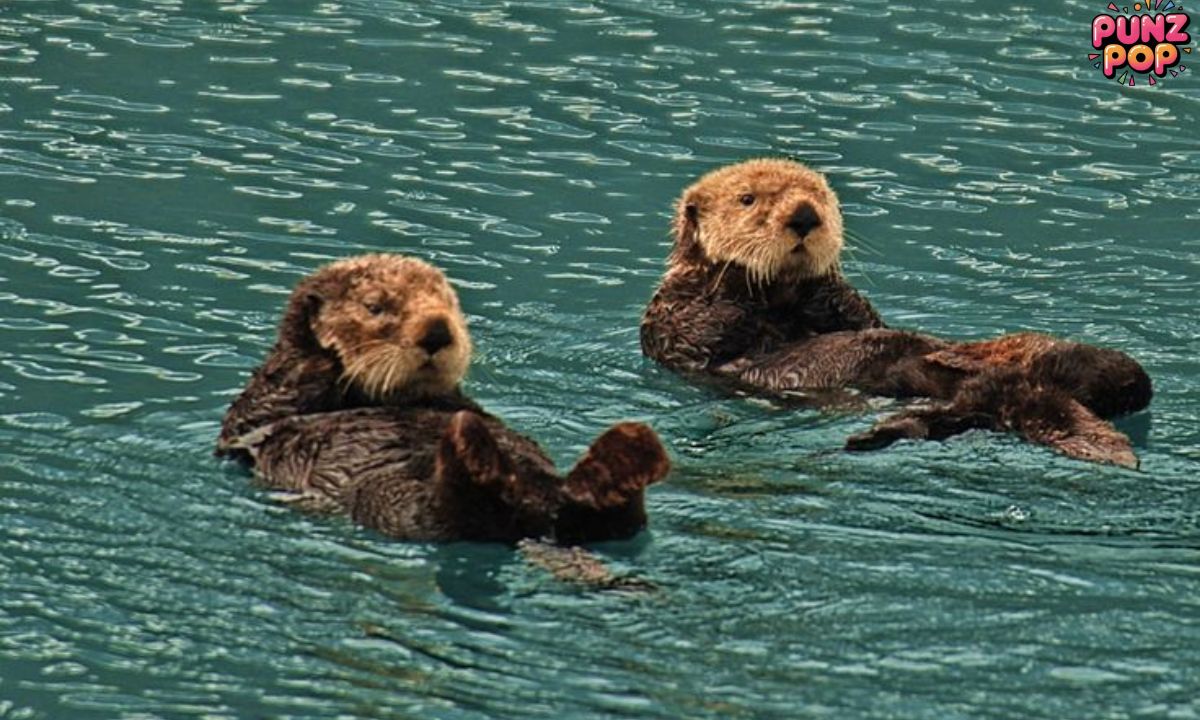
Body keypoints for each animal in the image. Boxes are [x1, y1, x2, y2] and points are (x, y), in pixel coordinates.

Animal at [220, 253, 671, 543]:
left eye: (449, 304)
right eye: (375, 306)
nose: (437, 330)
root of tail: (538, 517)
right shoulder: (262, 407)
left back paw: (626, 453)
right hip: (394, 502)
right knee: (453, 515)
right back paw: (472, 450)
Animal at [641, 159, 1152, 466]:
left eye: (820, 197)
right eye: (748, 199)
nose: (805, 216)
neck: (781, 305)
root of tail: (1025, 392)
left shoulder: (852, 314)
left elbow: (859, 316)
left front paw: (823, 288)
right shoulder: (676, 323)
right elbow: (711, 327)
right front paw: (737, 278)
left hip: (1090, 368)